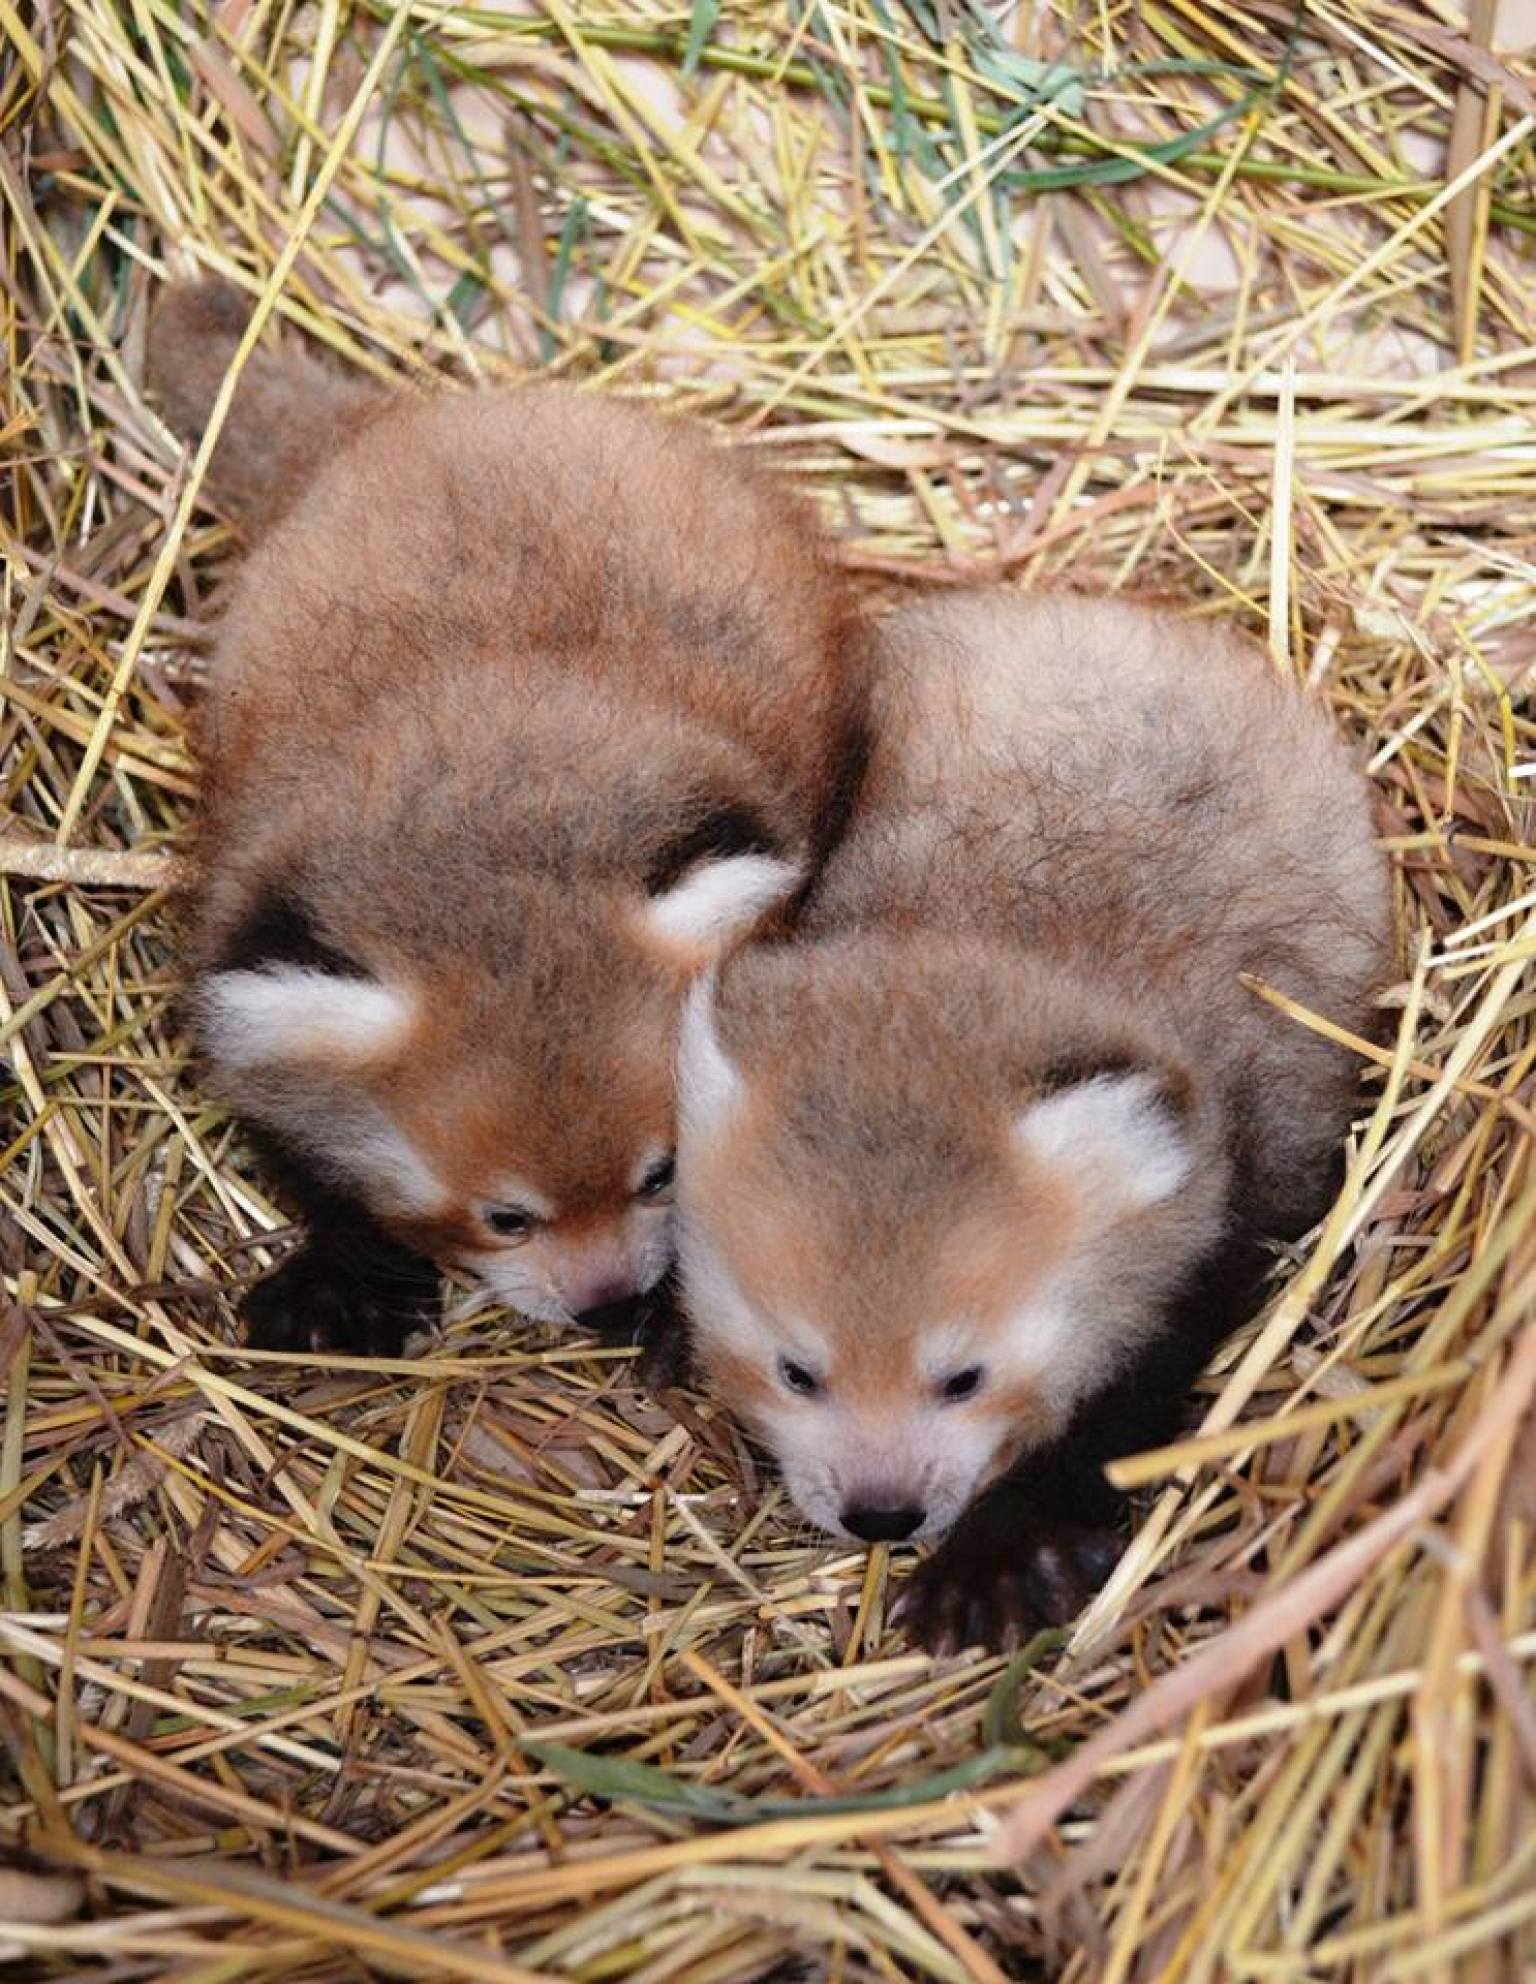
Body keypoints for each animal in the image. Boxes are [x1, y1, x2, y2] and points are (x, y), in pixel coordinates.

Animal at [150, 279, 873, 1357]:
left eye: (660, 1174)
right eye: (506, 1217)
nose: (604, 1298)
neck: (491, 828)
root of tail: (400, 416)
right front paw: (340, 1281)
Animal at [678, 583, 1397, 1642]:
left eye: (964, 1377)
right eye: (797, 1371)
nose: (883, 1514)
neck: (1003, 940)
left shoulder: (1224, 1226)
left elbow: (1118, 1409)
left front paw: (1007, 1551)